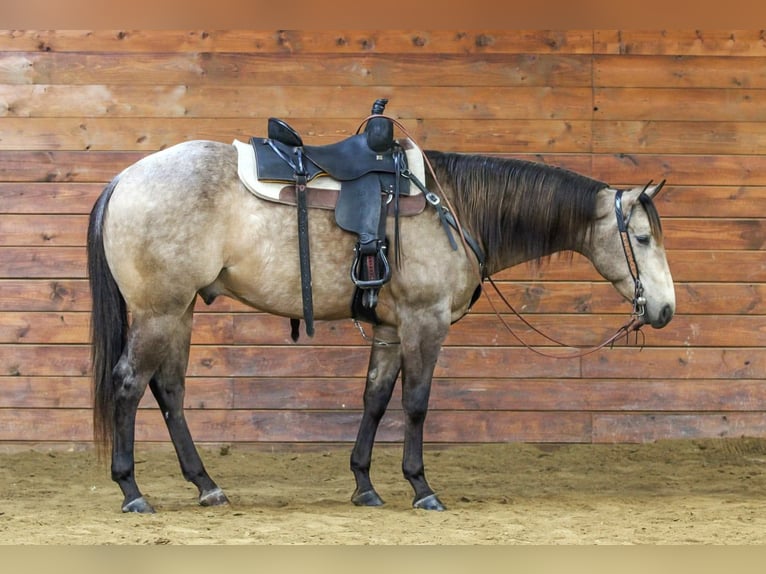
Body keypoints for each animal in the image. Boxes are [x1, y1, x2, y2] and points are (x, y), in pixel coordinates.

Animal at [88, 140, 675, 513]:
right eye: (643, 238)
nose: (666, 309)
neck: (454, 209)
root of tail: (124, 179)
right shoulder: (424, 321)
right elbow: (415, 403)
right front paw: (421, 487)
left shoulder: (391, 330)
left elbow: (374, 399)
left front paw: (364, 485)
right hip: (161, 311)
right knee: (129, 385)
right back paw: (132, 491)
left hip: (180, 310)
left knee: (169, 391)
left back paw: (206, 485)